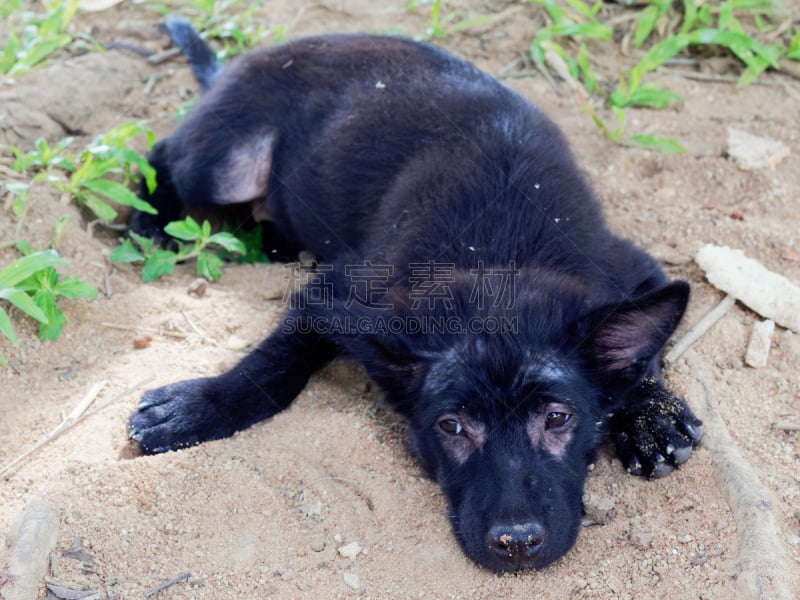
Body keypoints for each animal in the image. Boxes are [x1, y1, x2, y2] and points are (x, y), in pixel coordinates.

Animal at [128, 18, 704, 572]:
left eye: (559, 419)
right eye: (451, 426)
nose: (517, 544)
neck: (498, 256)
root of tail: (251, 59)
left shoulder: (634, 268)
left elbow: (645, 344)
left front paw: (652, 415)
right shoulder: (339, 289)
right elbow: (275, 364)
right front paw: (200, 406)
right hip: (226, 164)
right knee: (163, 153)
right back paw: (149, 221)